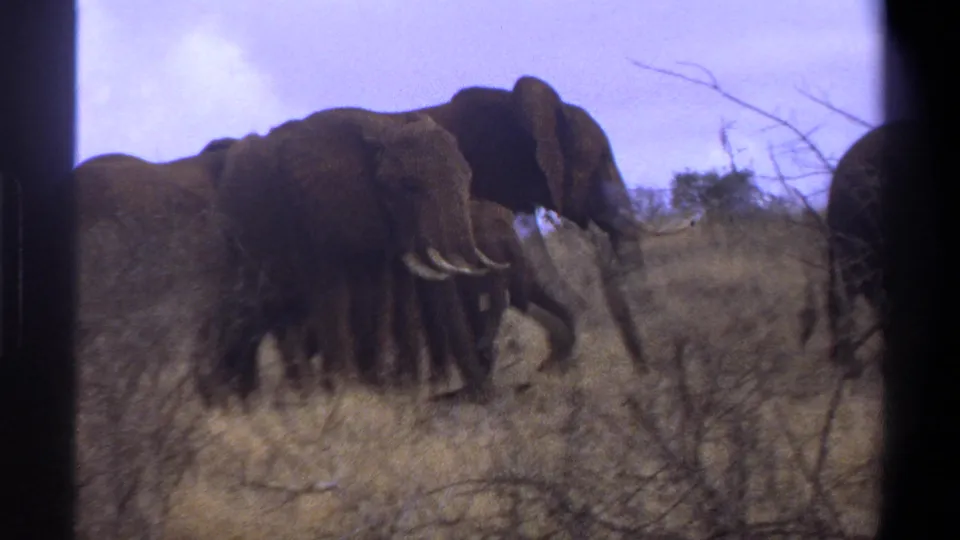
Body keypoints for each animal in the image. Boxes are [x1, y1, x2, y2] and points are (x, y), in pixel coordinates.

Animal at [204, 107, 505, 404]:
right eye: (409, 186)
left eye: (468, 178)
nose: (480, 395)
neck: (382, 128)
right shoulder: (317, 216)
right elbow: (334, 295)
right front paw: (348, 393)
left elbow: (378, 296)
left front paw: (377, 388)